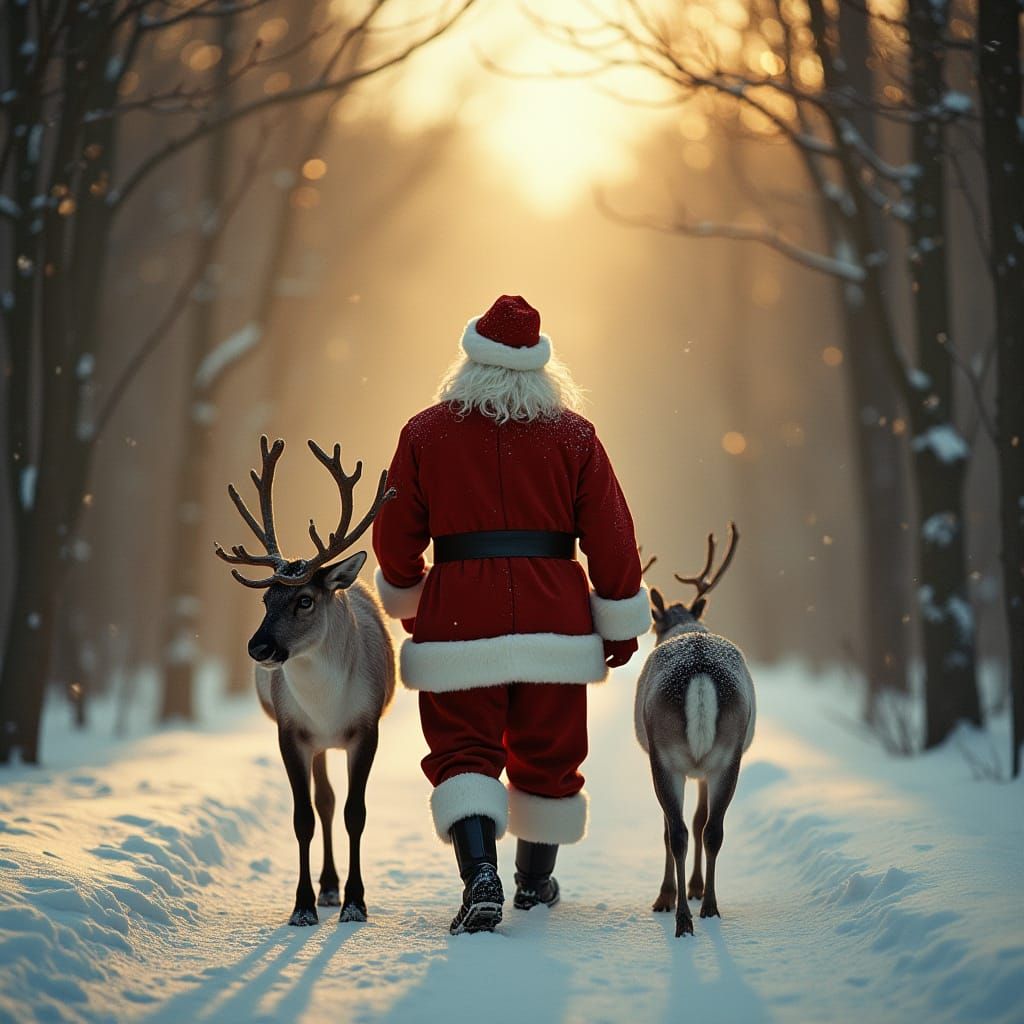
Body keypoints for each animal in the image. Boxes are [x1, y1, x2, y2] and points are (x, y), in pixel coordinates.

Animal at [215, 435, 397, 927]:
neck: (326, 705)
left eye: (304, 600)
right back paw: (327, 887)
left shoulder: (366, 728)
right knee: (324, 801)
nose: (257, 648)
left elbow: (357, 813)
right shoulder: (291, 730)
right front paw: (302, 907)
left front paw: (356, 903)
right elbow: (304, 818)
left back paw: (336, 890)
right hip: (316, 745)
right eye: (266, 598)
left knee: (334, 802)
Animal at [634, 523, 755, 937]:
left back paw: (678, 913)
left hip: (665, 754)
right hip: (726, 755)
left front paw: (677, 892)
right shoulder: (703, 768)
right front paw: (697, 887)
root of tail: (700, 674)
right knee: (712, 829)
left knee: (677, 832)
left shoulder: (673, 763)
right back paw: (709, 907)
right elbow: (703, 820)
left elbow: (675, 825)